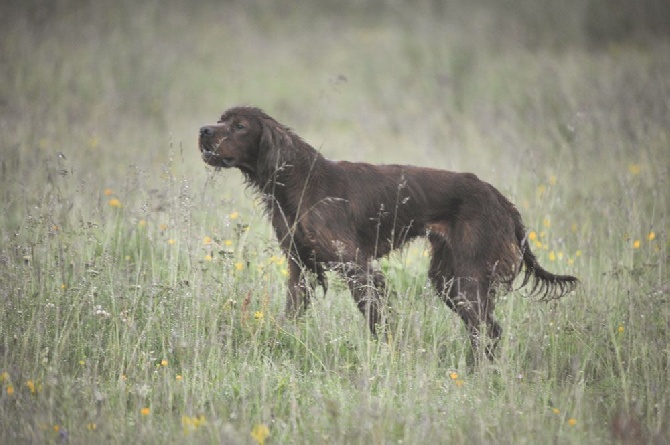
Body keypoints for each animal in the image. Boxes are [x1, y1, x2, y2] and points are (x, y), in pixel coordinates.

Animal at [198, 107, 576, 360]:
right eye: (220, 118)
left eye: (239, 126)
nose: (203, 130)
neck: (298, 181)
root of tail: (501, 199)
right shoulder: (300, 267)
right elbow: (291, 314)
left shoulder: (358, 267)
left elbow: (377, 320)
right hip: (448, 279)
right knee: (482, 329)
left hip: (468, 277)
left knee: (489, 330)